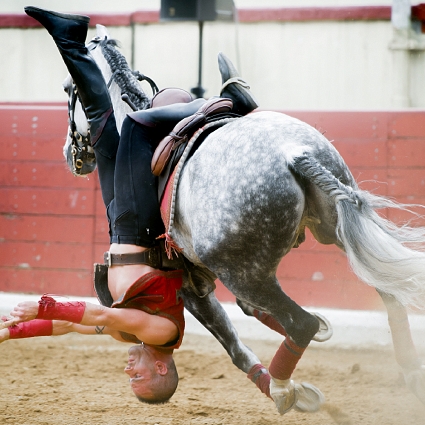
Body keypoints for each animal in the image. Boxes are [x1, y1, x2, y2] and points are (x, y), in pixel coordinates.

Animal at [63, 24, 424, 412]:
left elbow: (233, 342)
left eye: (68, 90)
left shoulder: (190, 285)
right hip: (335, 233)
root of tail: (295, 154)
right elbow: (251, 313)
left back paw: (281, 385)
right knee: (389, 294)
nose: (71, 155)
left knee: (300, 322)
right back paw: (410, 371)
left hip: (243, 273)